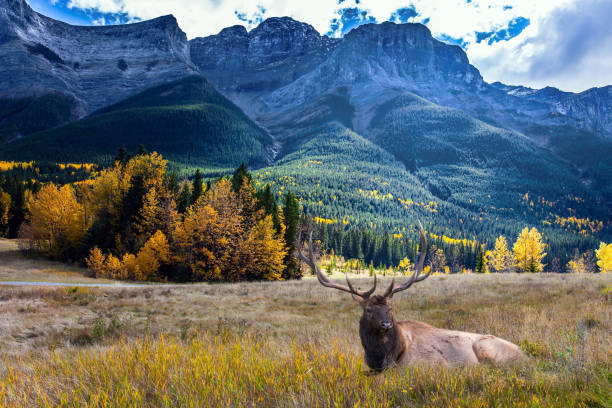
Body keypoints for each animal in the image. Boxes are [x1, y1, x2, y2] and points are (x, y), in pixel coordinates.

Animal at [296, 222, 520, 372]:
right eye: (368, 309)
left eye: (390, 309)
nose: (386, 324)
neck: (385, 358)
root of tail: (523, 353)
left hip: (487, 348)